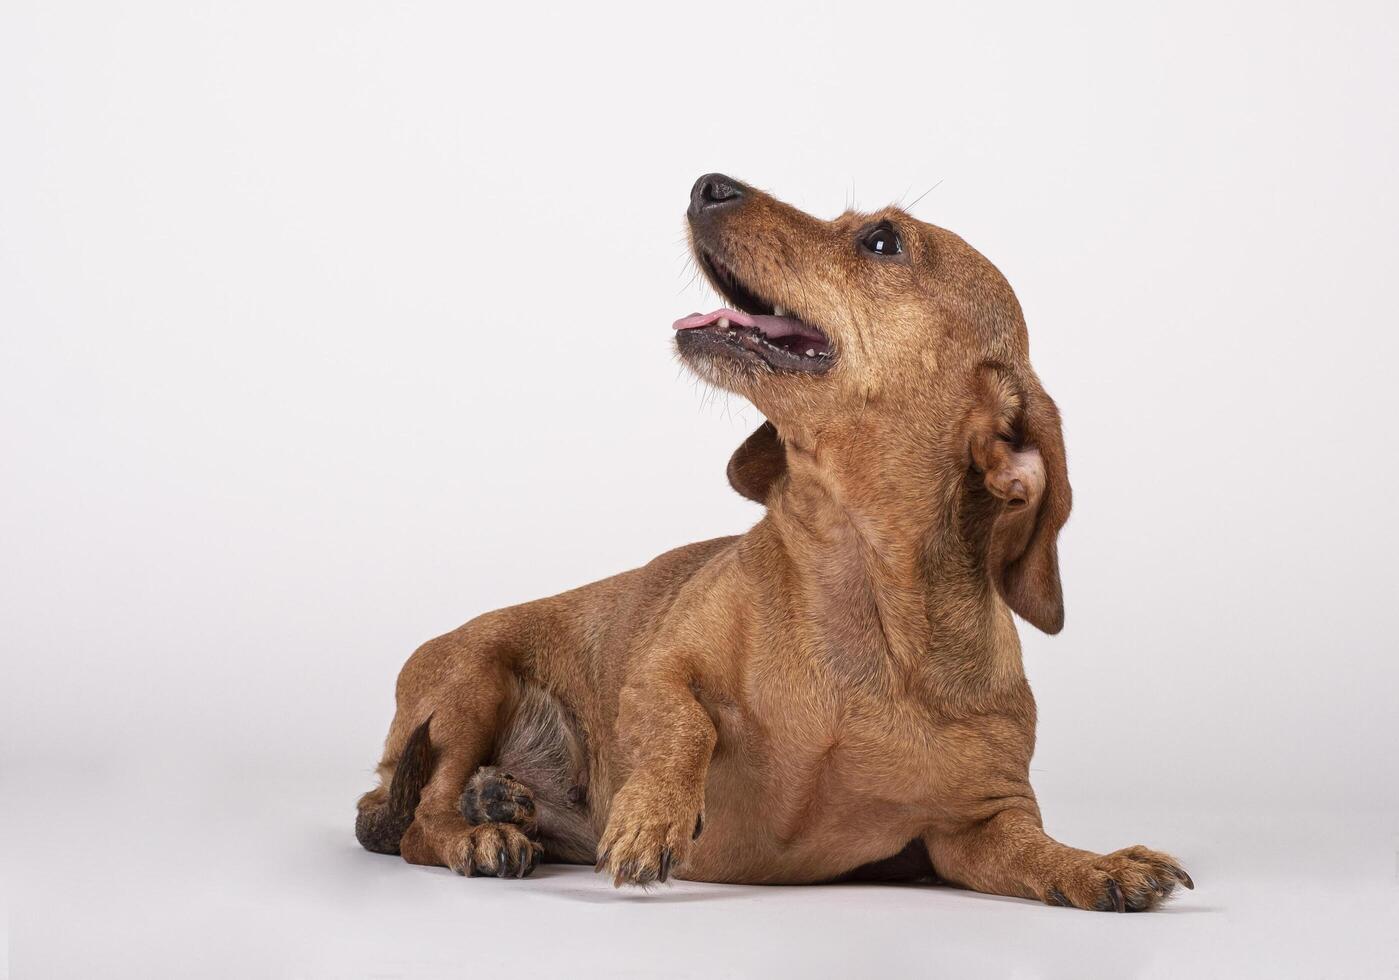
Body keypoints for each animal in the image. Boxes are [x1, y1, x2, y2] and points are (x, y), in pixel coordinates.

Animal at [352, 174, 1191, 911]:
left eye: (881, 240)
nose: (706, 184)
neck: (856, 593)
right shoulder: (658, 670)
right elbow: (683, 724)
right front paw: (651, 816)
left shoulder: (978, 826)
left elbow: (1035, 852)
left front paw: (1098, 865)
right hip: (471, 677)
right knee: (417, 819)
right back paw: (480, 827)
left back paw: (499, 798)